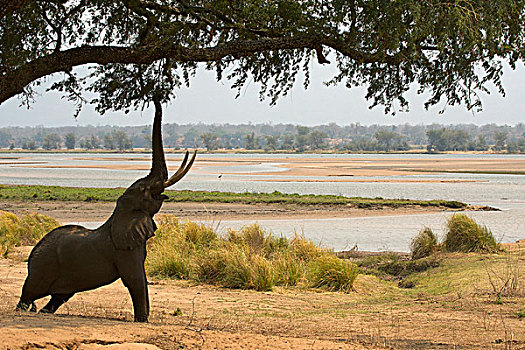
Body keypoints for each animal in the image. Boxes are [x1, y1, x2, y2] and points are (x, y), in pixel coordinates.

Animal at [15, 99, 194, 322]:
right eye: (144, 191)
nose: (155, 98)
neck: (120, 214)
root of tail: (32, 255)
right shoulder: (122, 248)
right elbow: (135, 279)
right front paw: (141, 320)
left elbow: (139, 279)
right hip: (42, 267)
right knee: (28, 293)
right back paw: (23, 309)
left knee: (58, 298)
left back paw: (44, 312)